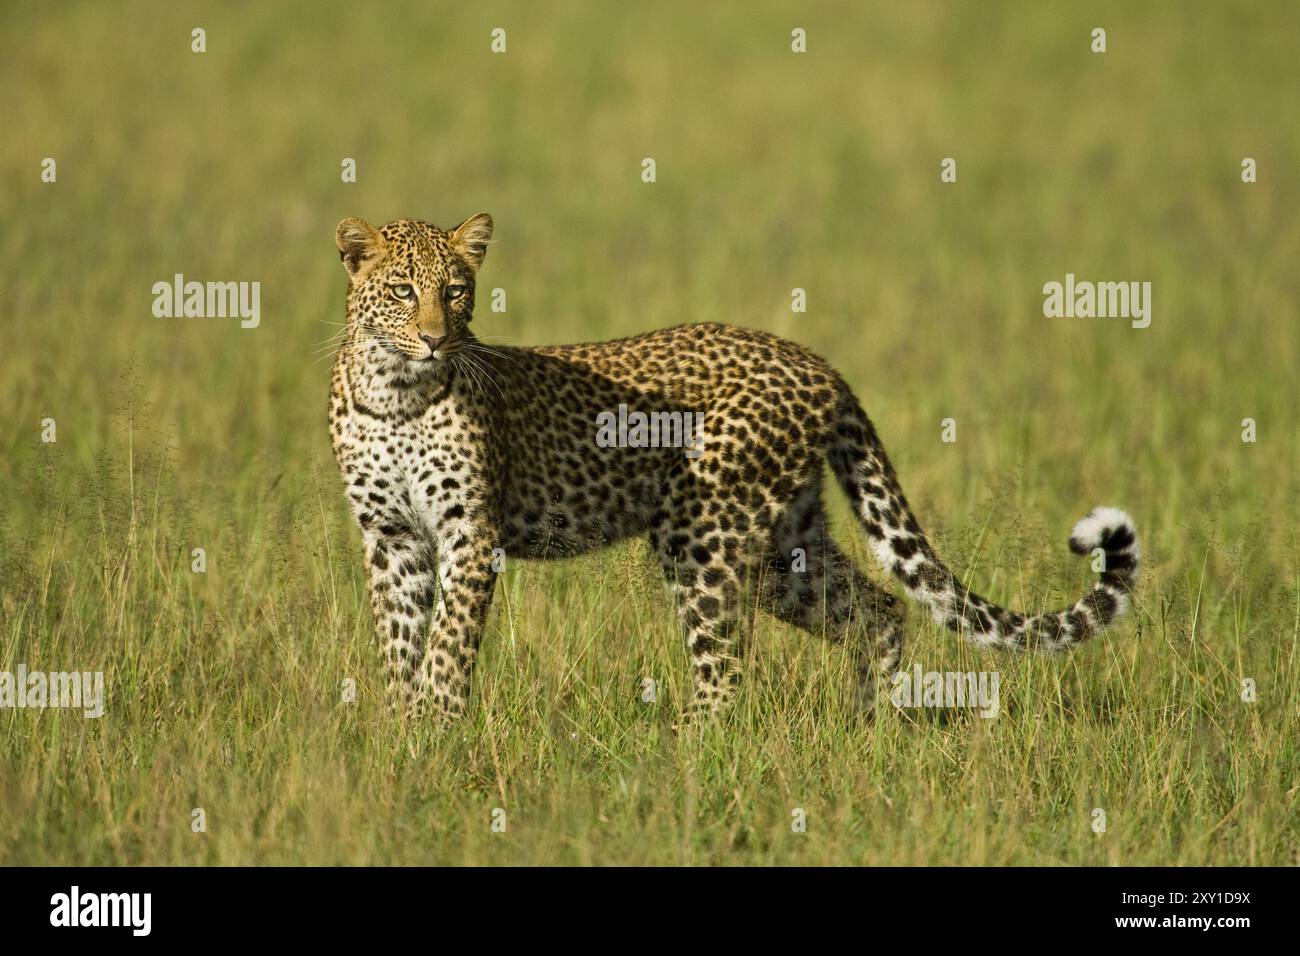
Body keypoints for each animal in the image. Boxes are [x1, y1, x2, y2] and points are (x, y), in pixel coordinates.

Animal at [328, 213, 1141, 725]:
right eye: (402, 290)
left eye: (455, 290)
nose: (435, 338)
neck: (394, 393)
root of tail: (818, 363)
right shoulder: (391, 539)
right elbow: (399, 642)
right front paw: (402, 737)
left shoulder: (470, 535)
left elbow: (447, 647)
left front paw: (435, 733)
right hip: (786, 542)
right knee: (879, 609)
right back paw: (870, 733)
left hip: (704, 533)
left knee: (724, 665)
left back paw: (686, 760)